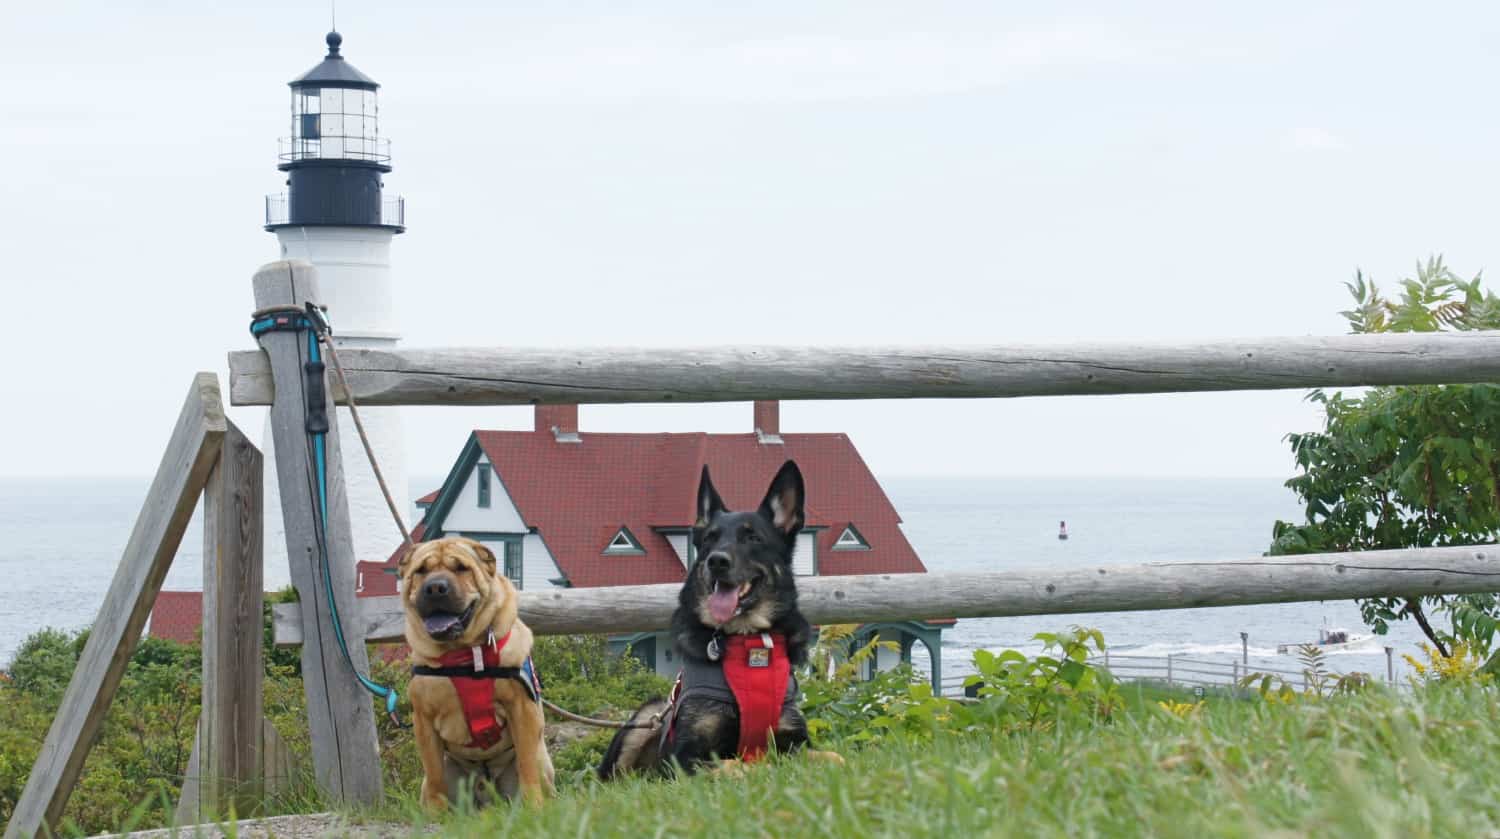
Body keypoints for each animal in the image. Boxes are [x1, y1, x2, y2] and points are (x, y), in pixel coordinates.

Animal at [399, 540, 558, 810]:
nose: (435, 588)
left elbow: (526, 764)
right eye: (421, 571)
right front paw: (435, 812)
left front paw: (533, 806)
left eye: (461, 568)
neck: (464, 655)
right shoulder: (424, 719)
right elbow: (434, 773)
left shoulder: (521, 709)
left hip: (543, 761)